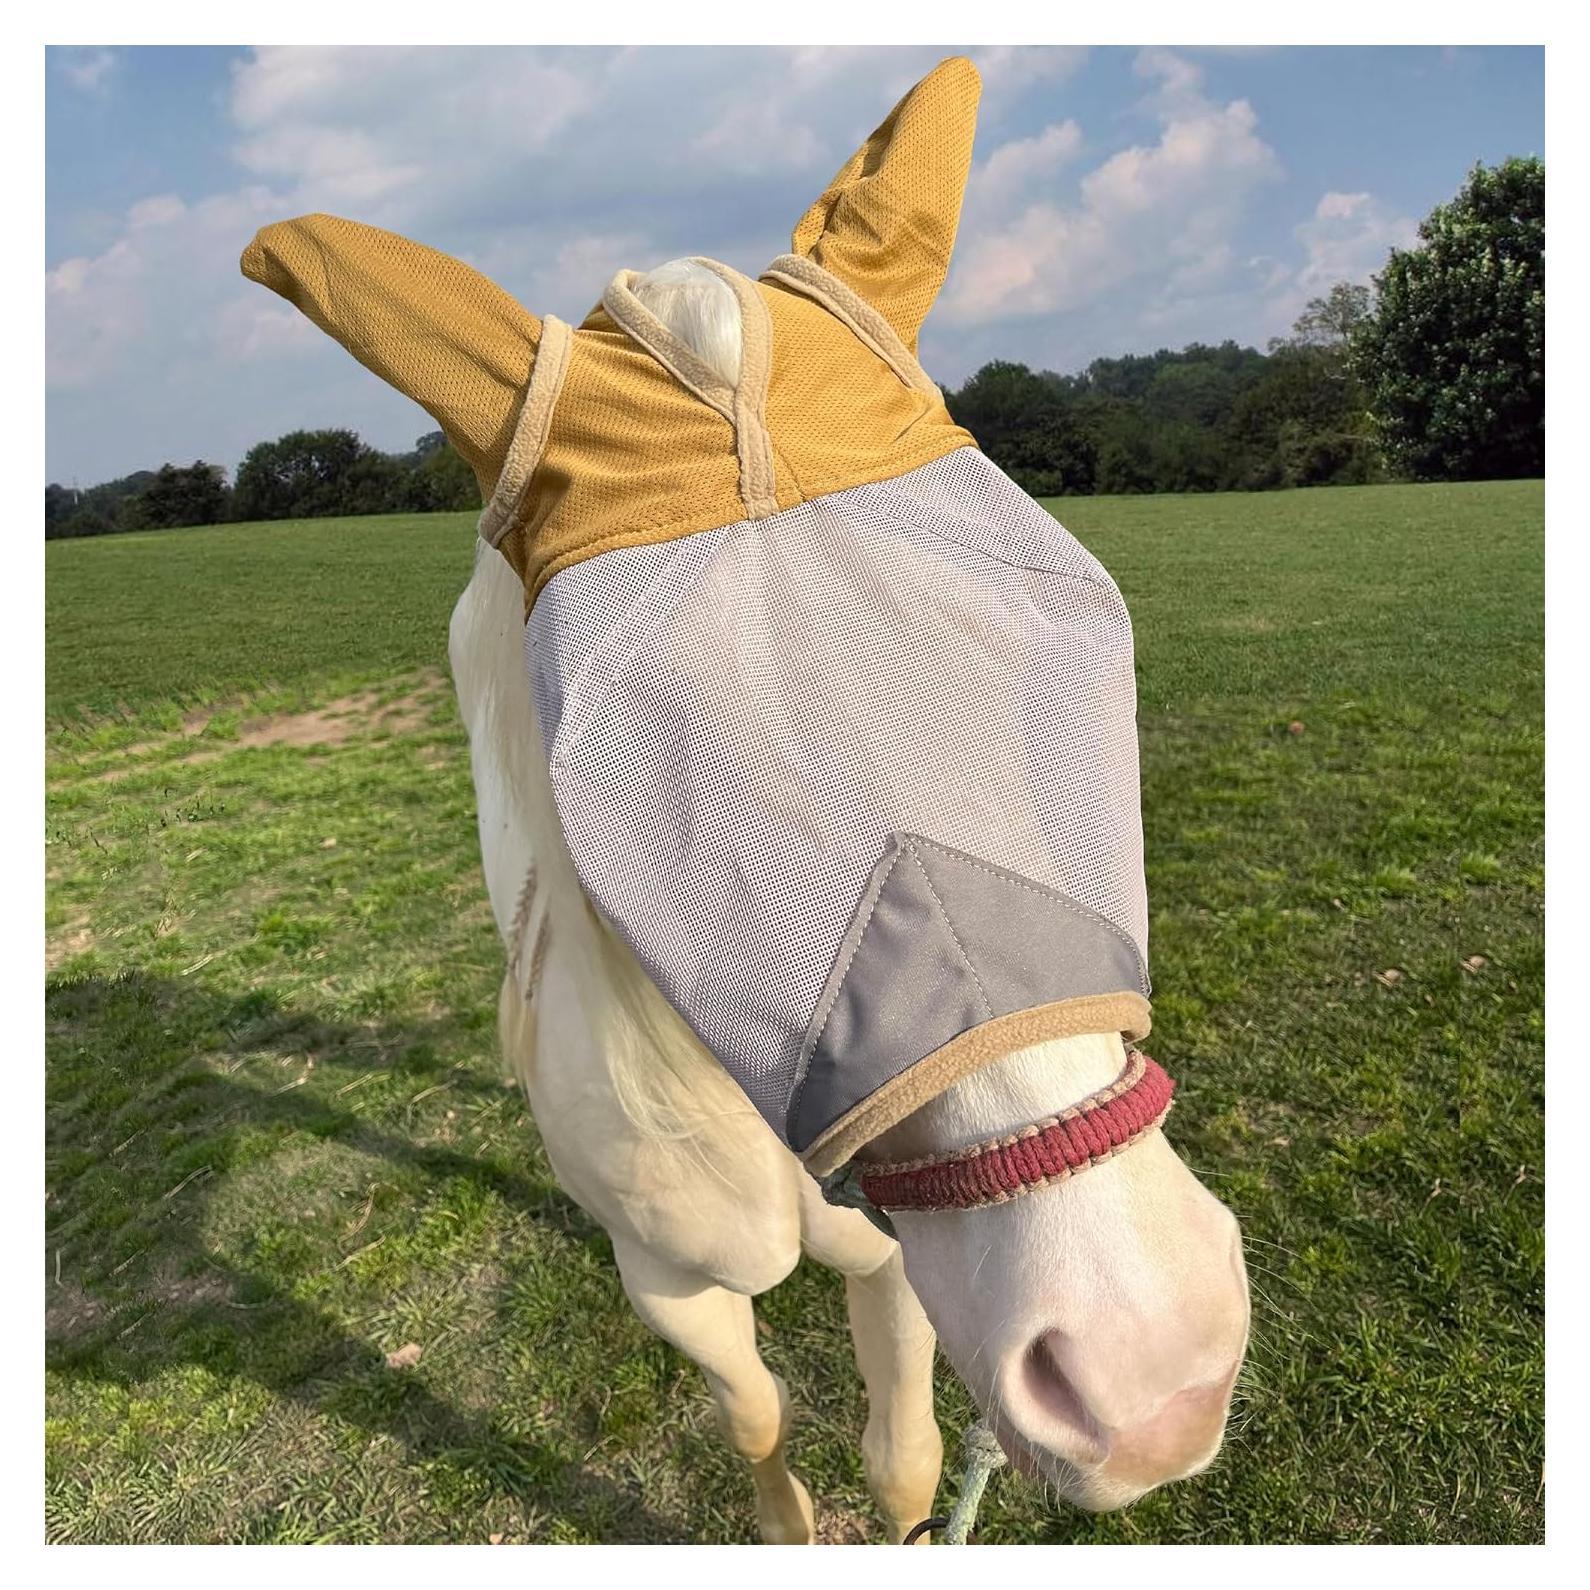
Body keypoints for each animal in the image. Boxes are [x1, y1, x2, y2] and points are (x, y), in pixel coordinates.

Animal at [243, 55, 1252, 1543]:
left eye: (1071, 634)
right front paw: (786, 1521)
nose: (1153, 1369)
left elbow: (900, 1454)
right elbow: (756, 1409)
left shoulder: (898, 1249)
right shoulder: (670, 1282)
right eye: (634, 767)